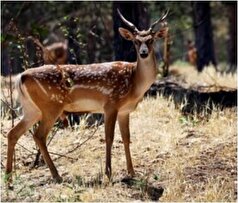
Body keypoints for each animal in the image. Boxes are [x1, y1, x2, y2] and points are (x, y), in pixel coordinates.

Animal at [5, 9, 169, 184]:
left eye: (151, 40)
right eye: (136, 41)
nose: (143, 53)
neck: (134, 83)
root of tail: (21, 77)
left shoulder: (125, 110)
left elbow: (126, 138)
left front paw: (132, 172)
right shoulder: (111, 104)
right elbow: (109, 137)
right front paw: (108, 173)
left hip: (31, 109)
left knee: (13, 133)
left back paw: (9, 178)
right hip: (51, 106)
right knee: (39, 135)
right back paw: (56, 175)